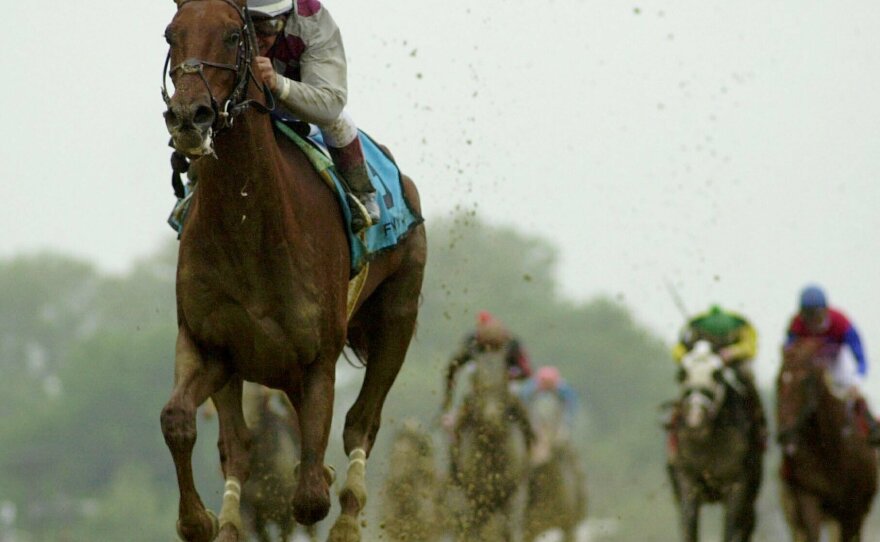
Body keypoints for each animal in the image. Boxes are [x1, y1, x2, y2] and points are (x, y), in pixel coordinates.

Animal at [162, 1, 430, 542]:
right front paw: (198, 519)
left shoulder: (317, 359)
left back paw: (348, 515)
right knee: (239, 448)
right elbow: (178, 418)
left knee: (361, 423)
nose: (187, 116)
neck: (249, 230)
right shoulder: (209, 344)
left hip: (396, 316)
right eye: (170, 35)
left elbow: (308, 499)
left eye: (232, 35)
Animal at [668, 342, 764, 540]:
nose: (696, 418)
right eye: (683, 373)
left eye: (716, 374)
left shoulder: (737, 484)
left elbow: (731, 528)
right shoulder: (686, 479)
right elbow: (689, 526)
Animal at [772, 340, 876, 542]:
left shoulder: (851, 510)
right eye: (778, 381)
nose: (785, 434)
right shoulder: (808, 499)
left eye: (805, 380)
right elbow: (812, 532)